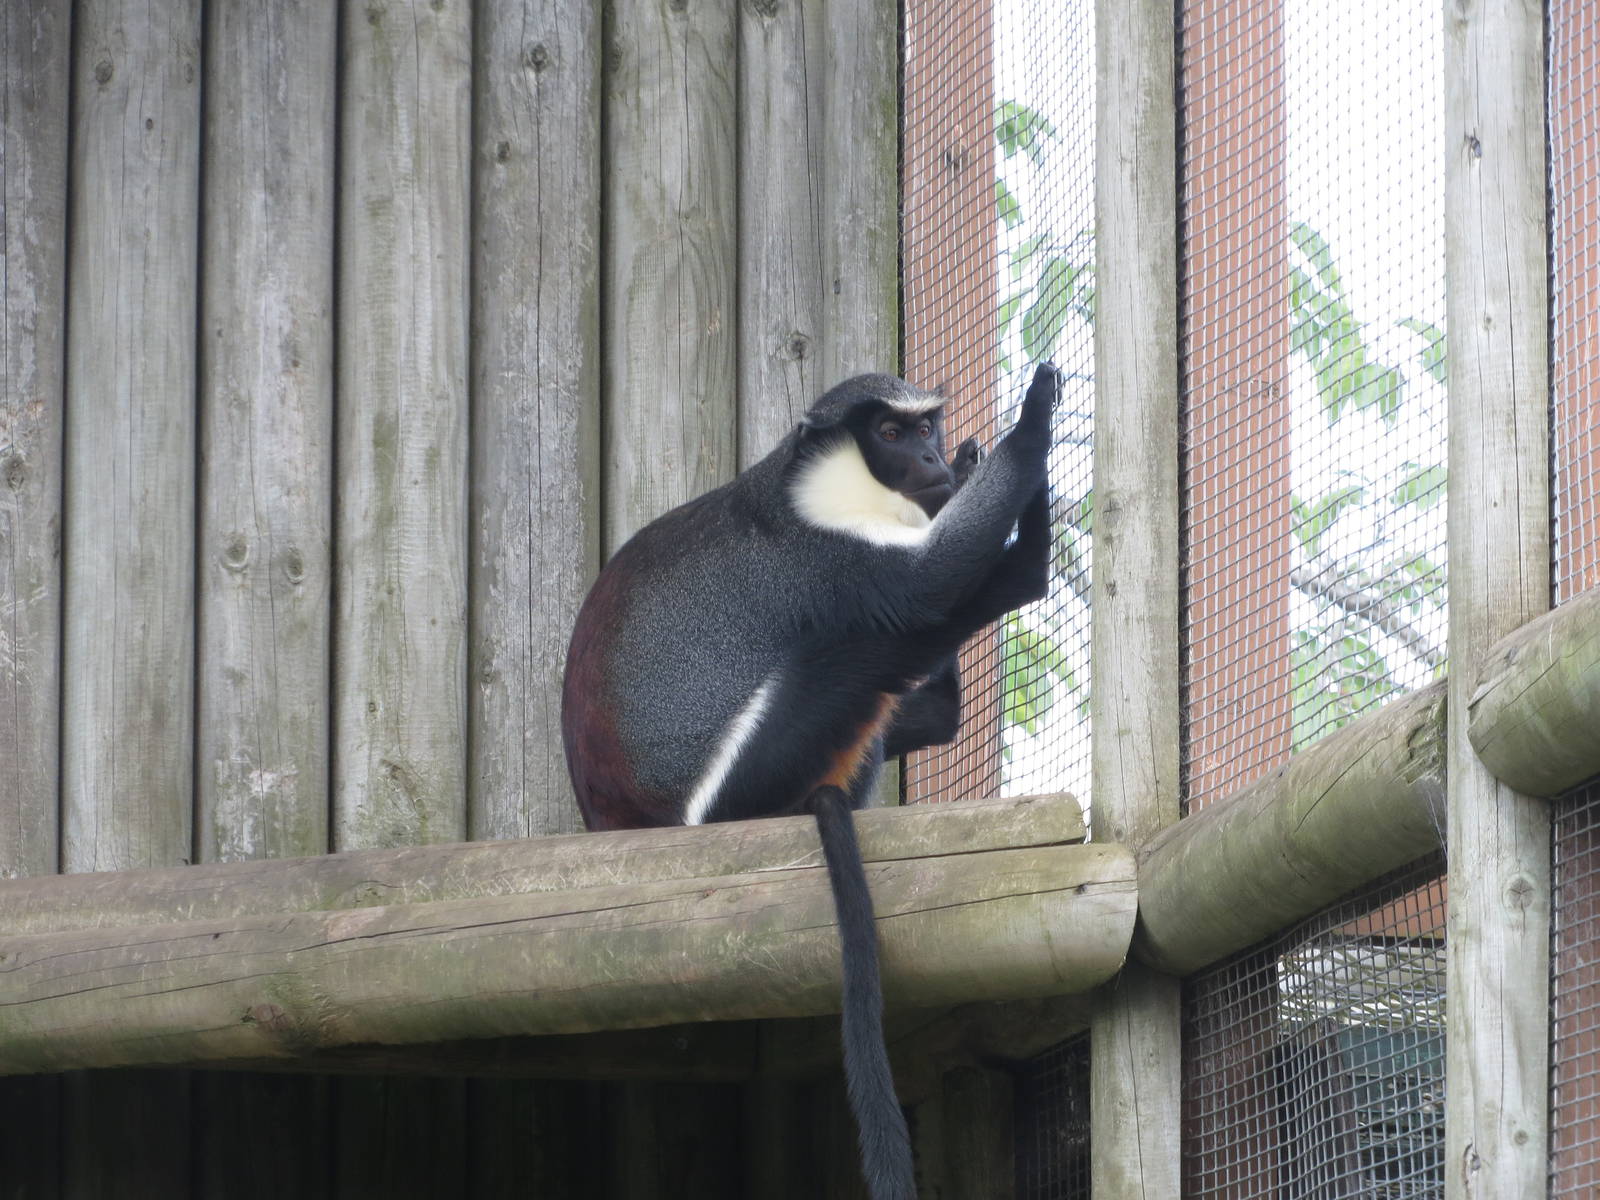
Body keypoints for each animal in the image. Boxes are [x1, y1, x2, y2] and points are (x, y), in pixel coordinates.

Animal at [562, 364, 1059, 1200]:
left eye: (923, 427)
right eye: (890, 433)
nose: (931, 458)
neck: (811, 479)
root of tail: (626, 825)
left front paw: (970, 468)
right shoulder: (828, 557)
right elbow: (924, 586)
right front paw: (1033, 421)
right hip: (742, 785)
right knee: (856, 642)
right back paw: (1026, 567)